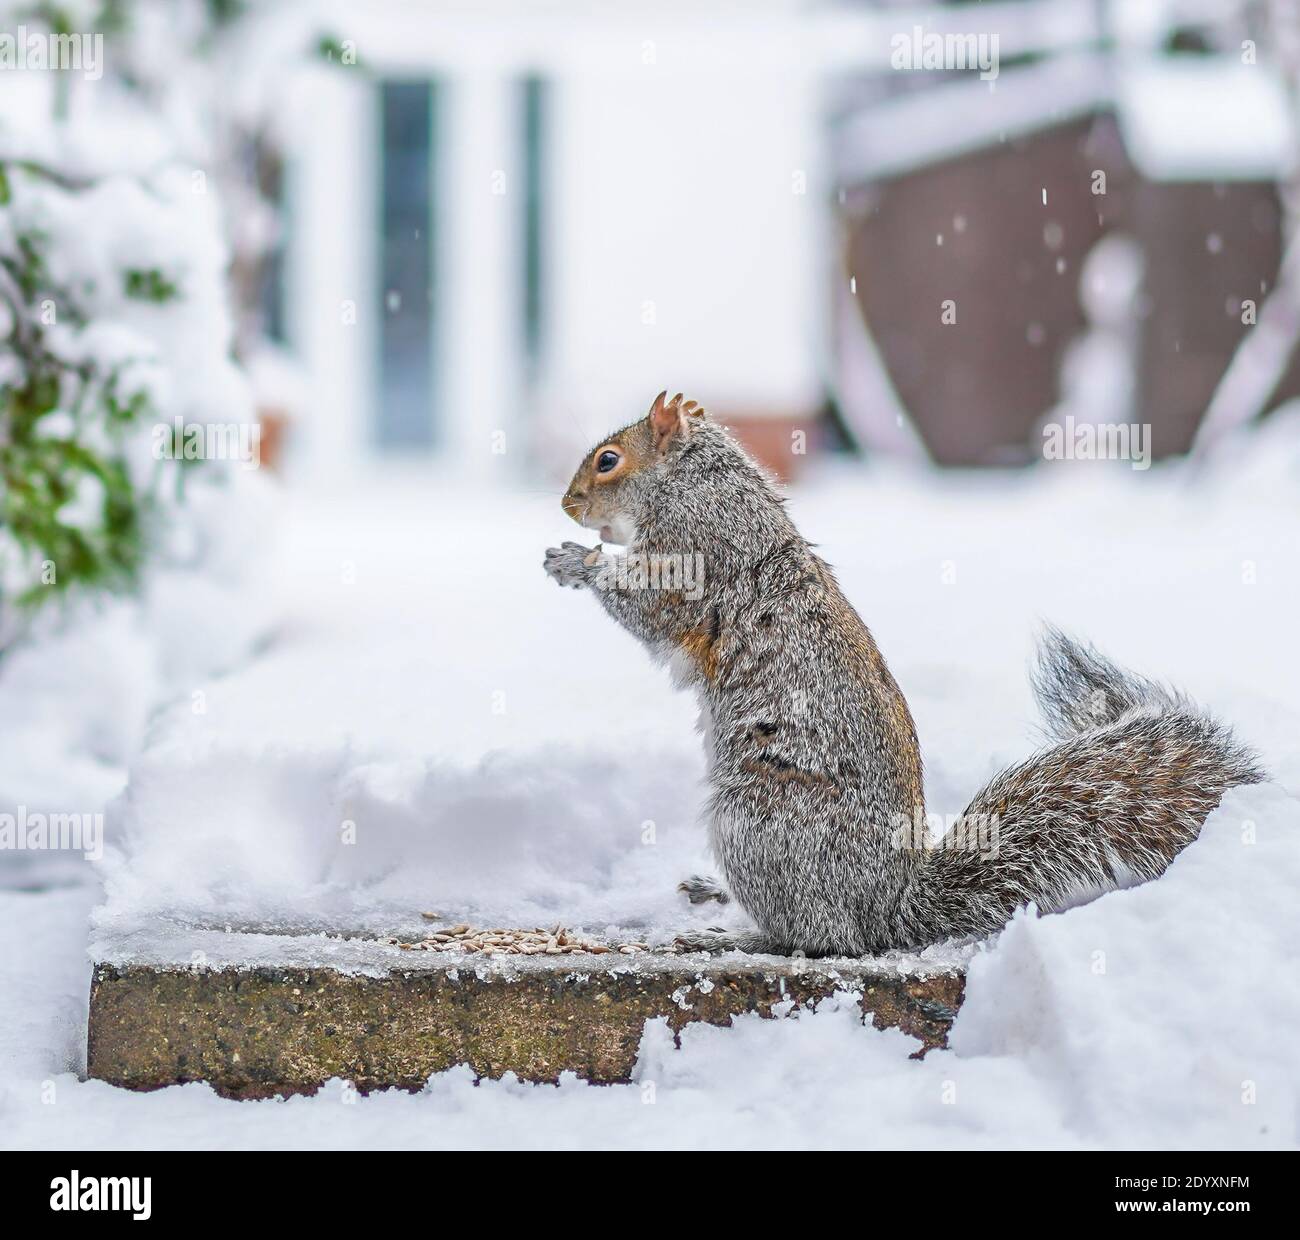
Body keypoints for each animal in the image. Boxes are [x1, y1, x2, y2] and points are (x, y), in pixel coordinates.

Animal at [543, 392, 1263, 951]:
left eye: (608, 460)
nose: (566, 503)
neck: (701, 484)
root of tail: (887, 907)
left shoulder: (698, 556)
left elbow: (654, 605)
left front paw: (578, 561)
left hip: (758, 822)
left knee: (818, 938)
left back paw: (733, 934)